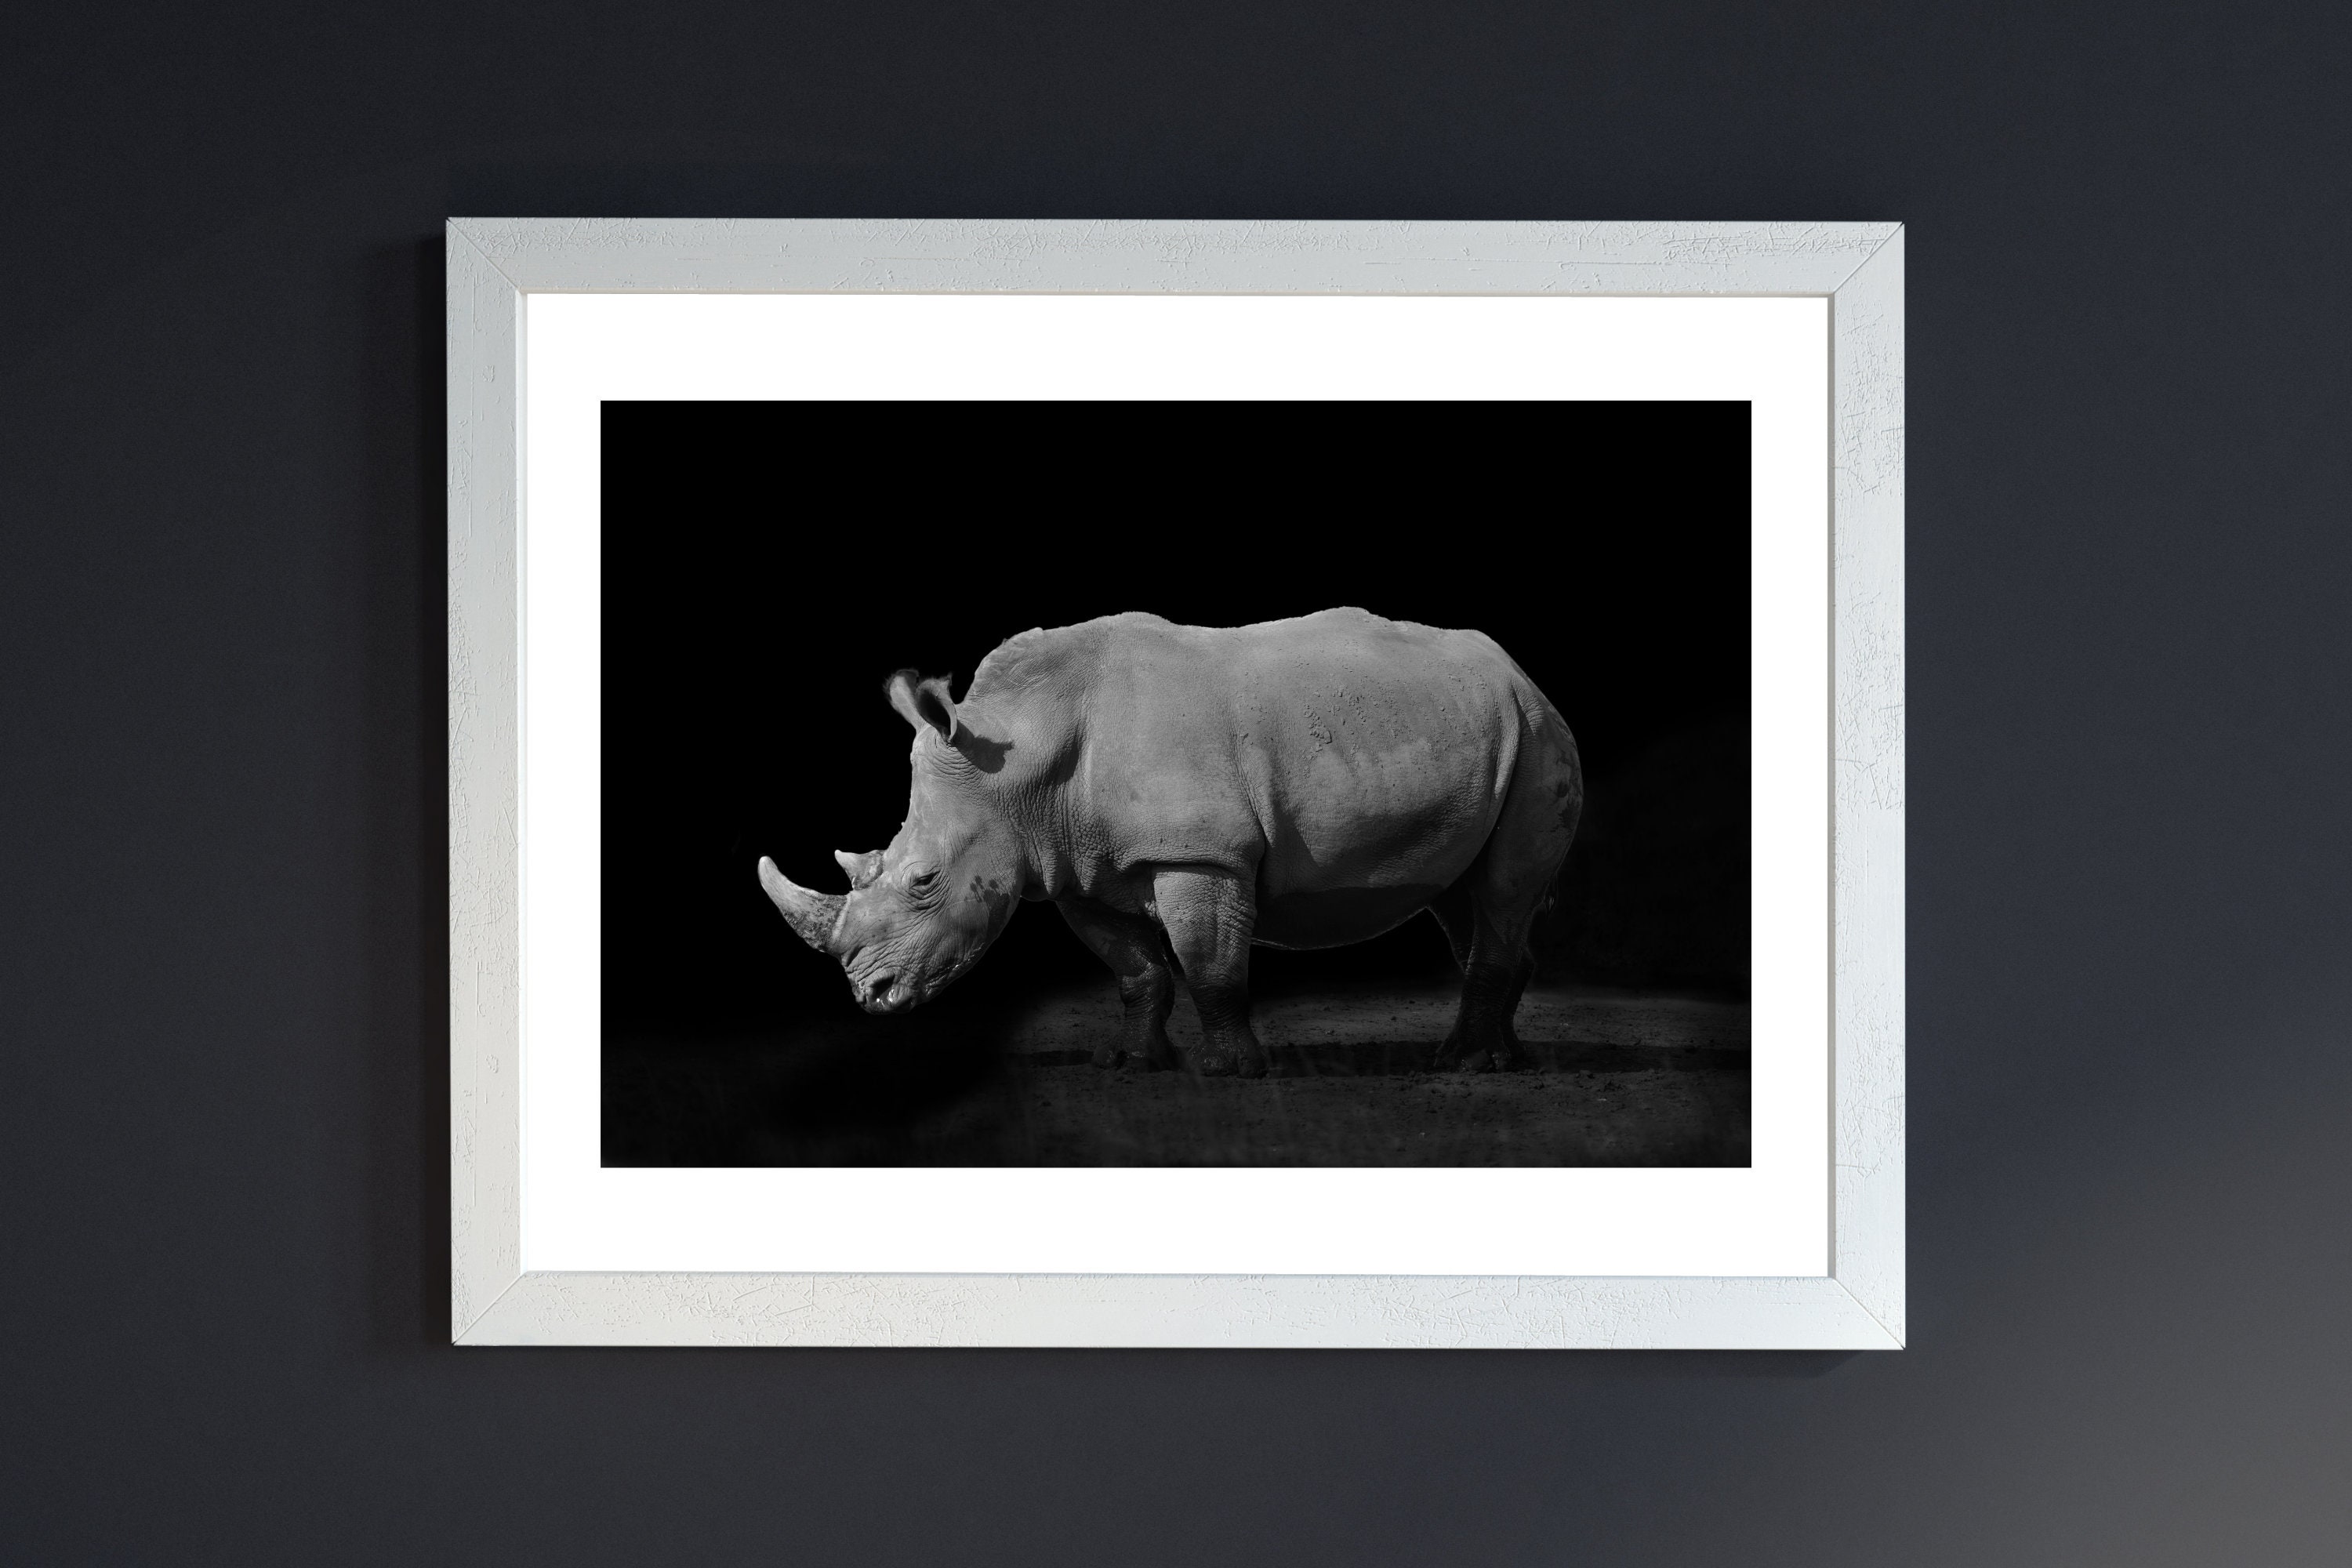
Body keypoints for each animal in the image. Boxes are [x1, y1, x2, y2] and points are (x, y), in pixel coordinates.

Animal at [757, 608, 1582, 1075]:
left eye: (924, 881)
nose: (870, 996)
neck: (1018, 762)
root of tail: (1519, 672)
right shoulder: (1072, 864)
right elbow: (1137, 971)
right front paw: (1129, 1063)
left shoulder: (1199, 854)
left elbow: (1208, 963)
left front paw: (1229, 1073)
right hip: (1478, 730)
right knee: (1464, 899)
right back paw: (1504, 1059)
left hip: (1537, 736)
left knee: (1502, 891)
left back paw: (1469, 1065)